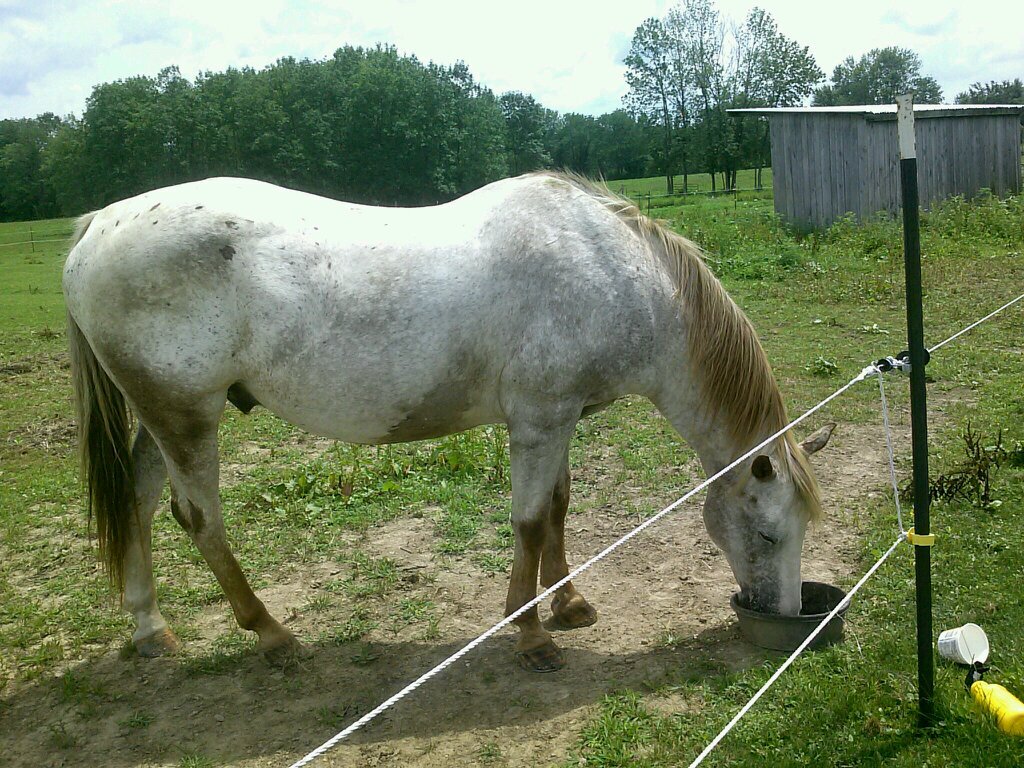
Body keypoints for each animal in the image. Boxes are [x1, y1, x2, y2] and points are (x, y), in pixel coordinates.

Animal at [63, 171, 833, 672]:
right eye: (769, 532)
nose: (787, 615)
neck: (614, 272)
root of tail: (98, 223)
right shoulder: (539, 421)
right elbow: (530, 522)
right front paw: (531, 635)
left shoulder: (559, 419)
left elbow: (559, 508)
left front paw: (569, 604)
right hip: (186, 416)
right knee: (199, 520)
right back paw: (272, 634)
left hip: (165, 417)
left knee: (138, 500)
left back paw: (151, 629)